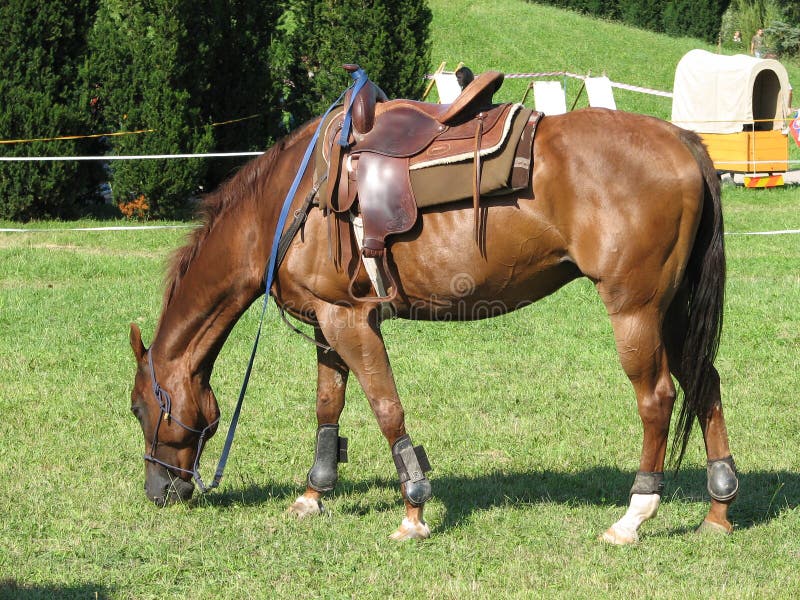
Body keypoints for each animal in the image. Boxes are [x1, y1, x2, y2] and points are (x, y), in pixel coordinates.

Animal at [128, 105, 737, 545]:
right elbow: (329, 407)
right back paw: (718, 508)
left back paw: (633, 516)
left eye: (139, 408)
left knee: (657, 399)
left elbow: (386, 410)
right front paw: (313, 494)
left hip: (635, 310)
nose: (158, 491)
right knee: (704, 382)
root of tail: (682, 139)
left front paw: (413, 510)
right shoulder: (326, 323)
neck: (287, 204)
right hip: (674, 311)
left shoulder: (352, 322)